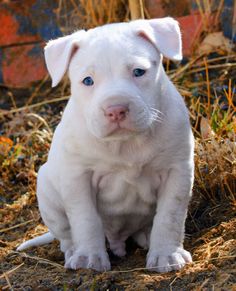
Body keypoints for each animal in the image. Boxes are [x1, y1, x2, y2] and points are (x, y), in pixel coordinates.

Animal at [18, 17, 194, 274]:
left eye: (139, 72)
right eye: (87, 81)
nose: (116, 109)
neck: (124, 144)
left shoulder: (177, 171)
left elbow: (170, 215)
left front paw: (166, 255)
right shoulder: (78, 177)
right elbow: (86, 218)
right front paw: (89, 258)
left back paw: (146, 237)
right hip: (47, 192)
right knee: (66, 235)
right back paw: (73, 251)